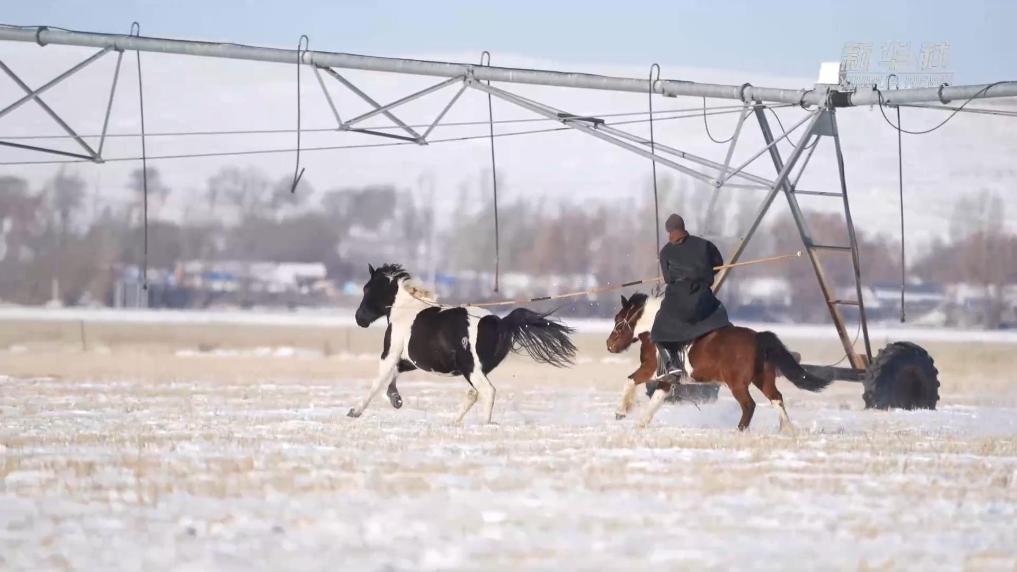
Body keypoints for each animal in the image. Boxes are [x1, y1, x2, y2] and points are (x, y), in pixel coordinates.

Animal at [351, 264, 577, 421]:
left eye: (366, 289)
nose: (359, 319)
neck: (405, 311)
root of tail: (498, 323)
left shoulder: (389, 355)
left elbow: (377, 382)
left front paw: (355, 411)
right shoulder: (408, 360)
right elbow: (392, 377)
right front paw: (395, 399)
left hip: (471, 368)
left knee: (486, 391)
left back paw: (483, 424)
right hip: (476, 369)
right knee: (474, 393)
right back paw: (454, 422)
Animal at [602, 293, 833, 427]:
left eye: (619, 321)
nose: (609, 345)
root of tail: (758, 337)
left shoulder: (649, 368)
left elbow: (630, 380)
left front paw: (621, 411)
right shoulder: (667, 379)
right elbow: (656, 399)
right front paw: (641, 424)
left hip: (737, 384)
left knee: (749, 405)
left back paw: (739, 432)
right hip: (763, 379)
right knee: (776, 398)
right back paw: (787, 429)